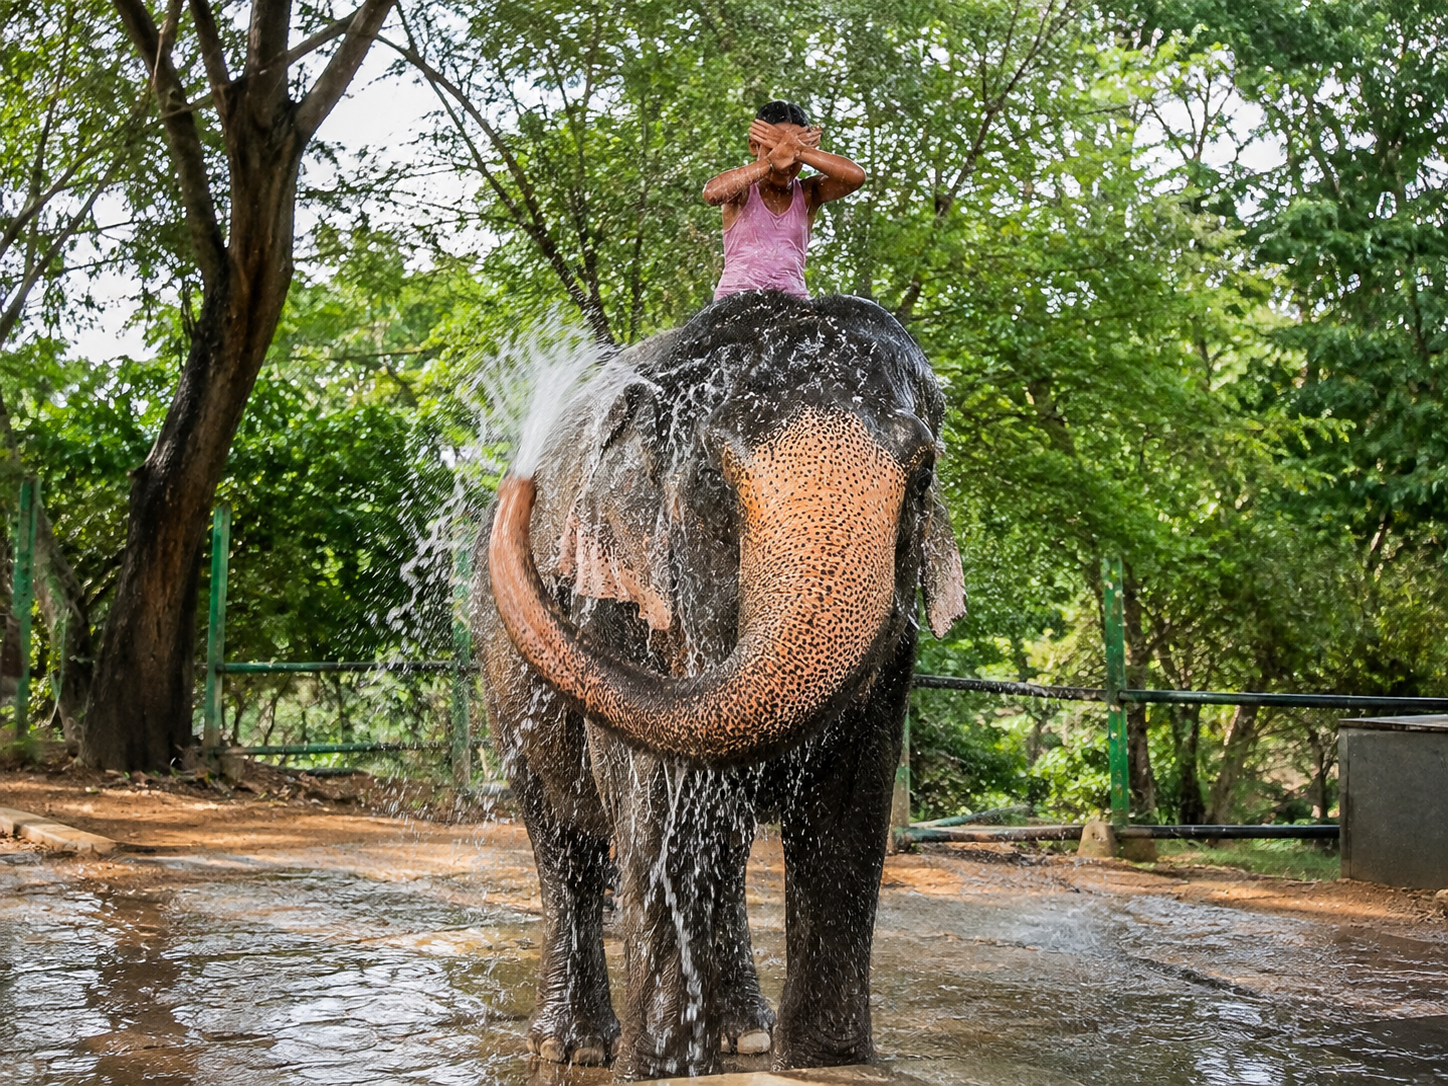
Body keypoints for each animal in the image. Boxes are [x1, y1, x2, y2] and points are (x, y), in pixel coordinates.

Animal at [475, 290, 966, 1079]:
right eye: (713, 479)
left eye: (922, 474)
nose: (523, 484)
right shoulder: (617, 591)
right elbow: (649, 791)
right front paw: (661, 1066)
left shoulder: (895, 655)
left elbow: (854, 801)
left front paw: (826, 1059)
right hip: (500, 678)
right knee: (561, 837)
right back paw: (575, 1047)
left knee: (722, 847)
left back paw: (745, 1037)